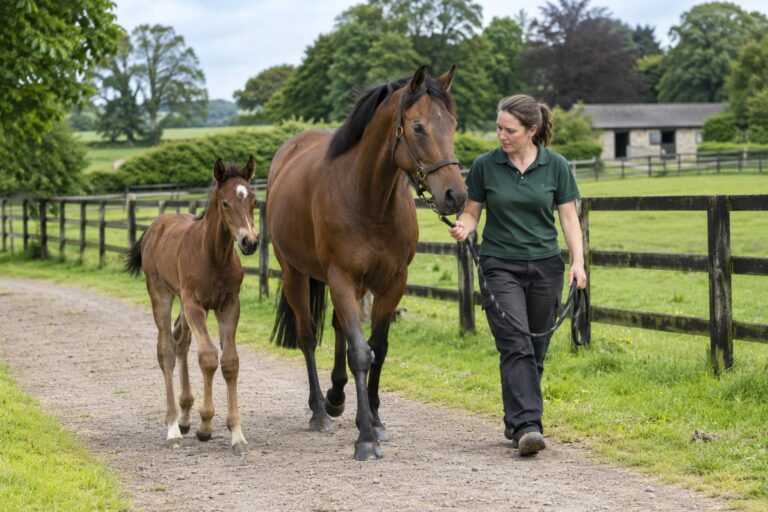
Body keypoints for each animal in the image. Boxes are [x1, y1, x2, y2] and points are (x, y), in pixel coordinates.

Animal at [125, 157, 259, 455]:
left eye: (253, 200)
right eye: (225, 203)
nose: (250, 242)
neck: (214, 256)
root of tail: (155, 226)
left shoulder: (229, 306)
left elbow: (230, 361)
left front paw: (237, 435)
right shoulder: (195, 305)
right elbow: (208, 357)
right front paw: (205, 425)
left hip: (185, 304)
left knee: (181, 340)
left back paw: (185, 416)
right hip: (162, 294)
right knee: (166, 349)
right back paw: (174, 428)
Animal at [266, 66, 467, 460]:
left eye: (452, 124)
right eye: (418, 127)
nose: (456, 195)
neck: (369, 200)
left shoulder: (392, 282)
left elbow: (379, 348)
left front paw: (374, 419)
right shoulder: (342, 278)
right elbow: (361, 352)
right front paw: (365, 438)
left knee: (338, 328)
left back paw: (336, 397)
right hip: (295, 274)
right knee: (308, 336)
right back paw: (319, 411)